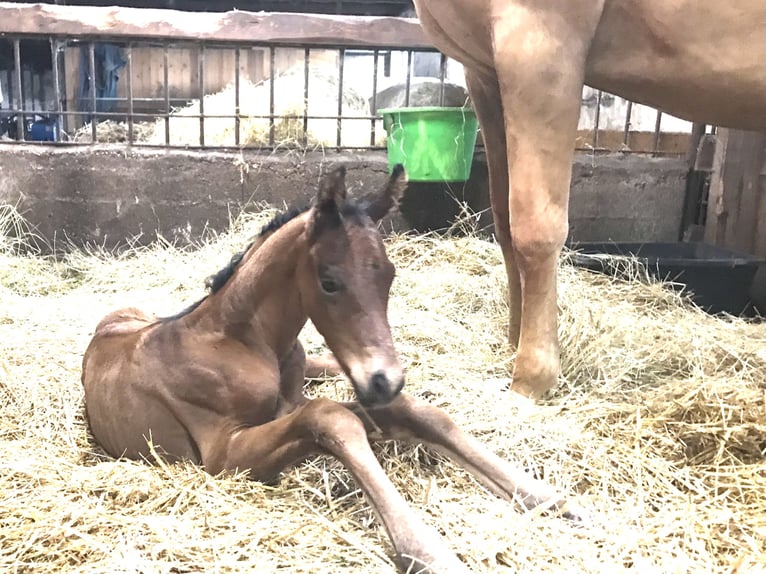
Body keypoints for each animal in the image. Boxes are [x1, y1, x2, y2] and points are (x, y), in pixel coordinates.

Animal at [81, 165, 586, 573]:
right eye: (329, 282)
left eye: (389, 275)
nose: (385, 379)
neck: (241, 342)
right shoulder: (223, 456)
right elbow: (332, 417)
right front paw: (429, 552)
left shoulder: (312, 398)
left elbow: (418, 412)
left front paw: (547, 497)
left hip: (317, 362)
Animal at [411, 0, 766, 399]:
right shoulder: (486, 73)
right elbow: (505, 225)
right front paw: (514, 348)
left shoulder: (539, 48)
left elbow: (536, 229)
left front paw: (531, 377)